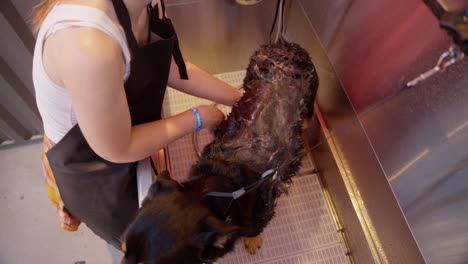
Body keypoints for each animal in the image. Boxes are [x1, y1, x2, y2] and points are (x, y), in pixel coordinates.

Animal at [120, 42, 320, 262]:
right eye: (122, 248)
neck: (224, 184)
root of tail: (287, 45)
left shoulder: (262, 208)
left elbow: (255, 228)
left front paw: (253, 240)